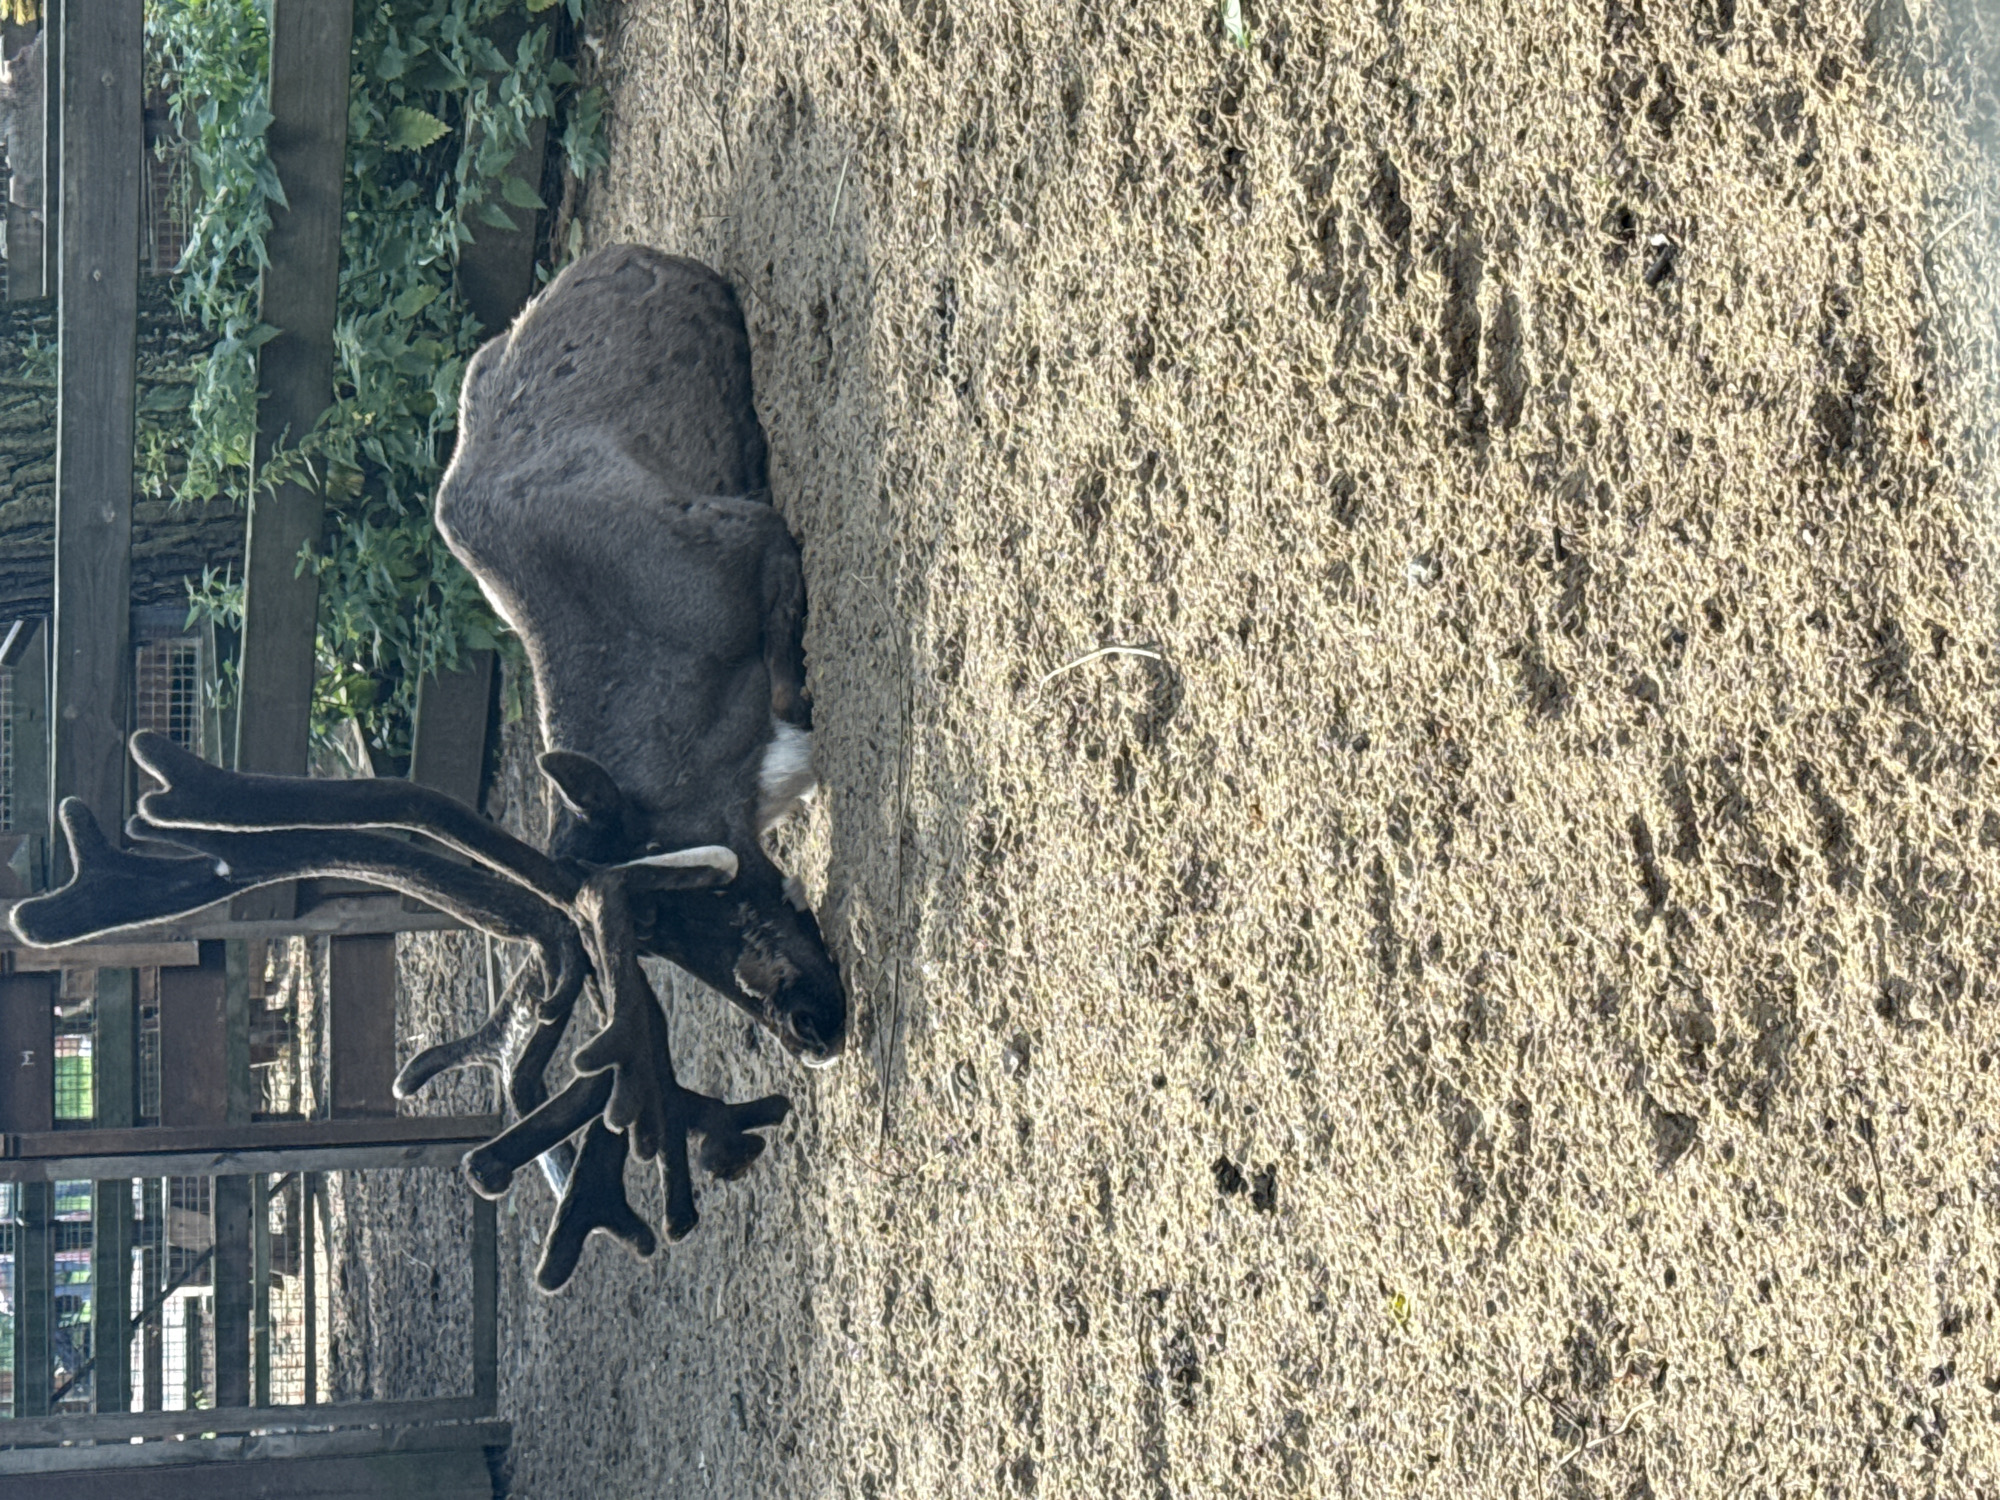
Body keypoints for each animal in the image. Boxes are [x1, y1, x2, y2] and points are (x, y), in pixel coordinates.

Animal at [8, 245, 847, 1291]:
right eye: (669, 934)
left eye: (699, 902)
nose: (816, 1029)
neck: (688, 705)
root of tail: (623, 256)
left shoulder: (754, 543)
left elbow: (790, 654)